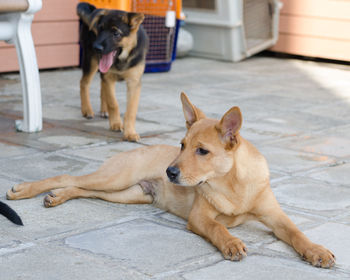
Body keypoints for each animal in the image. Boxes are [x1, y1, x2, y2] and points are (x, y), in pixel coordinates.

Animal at [7, 93, 336, 268]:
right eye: (181, 144)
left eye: (202, 151)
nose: (169, 172)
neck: (233, 184)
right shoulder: (200, 217)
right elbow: (218, 227)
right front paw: (231, 243)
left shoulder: (276, 216)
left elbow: (297, 232)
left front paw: (316, 250)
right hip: (115, 178)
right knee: (68, 176)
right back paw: (26, 190)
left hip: (126, 194)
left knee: (81, 188)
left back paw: (57, 196)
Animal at [77, 2, 148, 140]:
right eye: (100, 29)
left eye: (116, 34)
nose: (96, 47)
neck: (122, 59)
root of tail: (95, 9)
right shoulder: (109, 77)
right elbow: (113, 103)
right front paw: (115, 124)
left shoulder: (134, 82)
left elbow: (131, 110)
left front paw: (130, 132)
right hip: (91, 61)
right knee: (84, 83)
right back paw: (87, 109)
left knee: (101, 85)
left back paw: (104, 110)